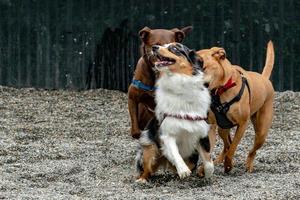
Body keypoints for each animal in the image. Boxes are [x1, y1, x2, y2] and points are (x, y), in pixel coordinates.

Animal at [135, 42, 214, 183]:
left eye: (174, 48)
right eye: (162, 45)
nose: (154, 47)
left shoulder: (202, 131)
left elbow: (209, 161)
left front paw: (207, 176)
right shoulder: (167, 133)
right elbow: (175, 153)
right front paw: (183, 170)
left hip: (192, 157)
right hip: (149, 147)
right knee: (147, 169)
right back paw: (142, 180)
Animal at [197, 41, 274, 173]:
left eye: (203, 67)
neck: (220, 91)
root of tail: (264, 79)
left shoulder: (242, 124)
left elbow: (233, 147)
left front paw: (228, 165)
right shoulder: (211, 125)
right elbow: (211, 149)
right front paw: (204, 168)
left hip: (262, 133)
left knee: (250, 149)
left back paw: (248, 165)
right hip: (222, 128)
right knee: (227, 143)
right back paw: (218, 160)